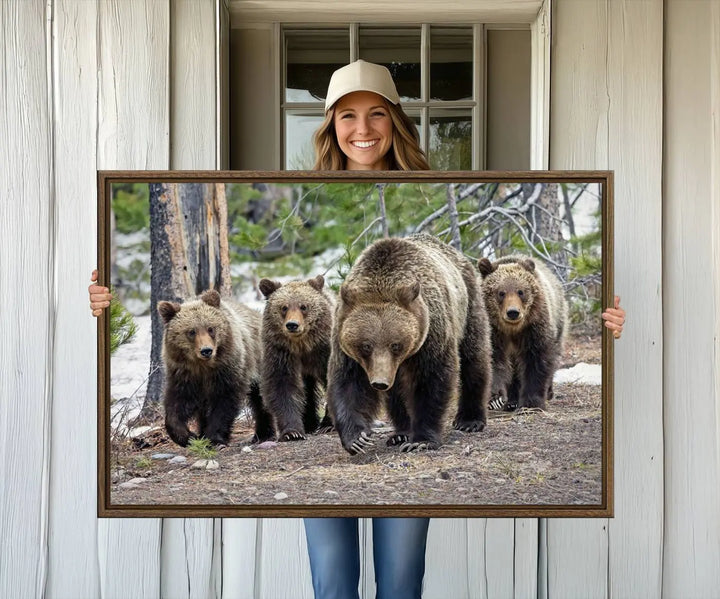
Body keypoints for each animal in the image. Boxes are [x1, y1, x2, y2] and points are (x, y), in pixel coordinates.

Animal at [159, 288, 274, 448]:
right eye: (191, 331)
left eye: (210, 328)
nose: (206, 350)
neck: (203, 366)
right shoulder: (183, 374)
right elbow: (177, 404)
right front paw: (188, 436)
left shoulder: (227, 369)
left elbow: (224, 402)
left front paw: (214, 438)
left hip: (259, 361)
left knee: (260, 398)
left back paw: (263, 433)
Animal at [258, 276, 334, 440]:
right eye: (284, 307)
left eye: (303, 306)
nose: (292, 325)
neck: (302, 346)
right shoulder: (281, 353)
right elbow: (282, 387)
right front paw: (292, 432)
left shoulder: (324, 351)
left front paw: (328, 424)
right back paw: (309, 423)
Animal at [324, 234, 490, 454]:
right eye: (366, 345)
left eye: (396, 344)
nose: (379, 382)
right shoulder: (344, 339)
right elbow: (348, 383)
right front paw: (357, 438)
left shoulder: (431, 332)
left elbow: (431, 380)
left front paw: (421, 440)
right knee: (396, 393)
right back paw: (400, 433)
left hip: (468, 305)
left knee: (474, 358)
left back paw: (470, 420)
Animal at [478, 253, 568, 412]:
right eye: (501, 292)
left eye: (521, 291)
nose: (513, 312)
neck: (512, 330)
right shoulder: (494, 332)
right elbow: (494, 361)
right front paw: (495, 398)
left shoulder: (533, 328)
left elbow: (536, 361)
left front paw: (531, 403)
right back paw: (512, 401)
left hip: (558, 321)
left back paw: (548, 392)